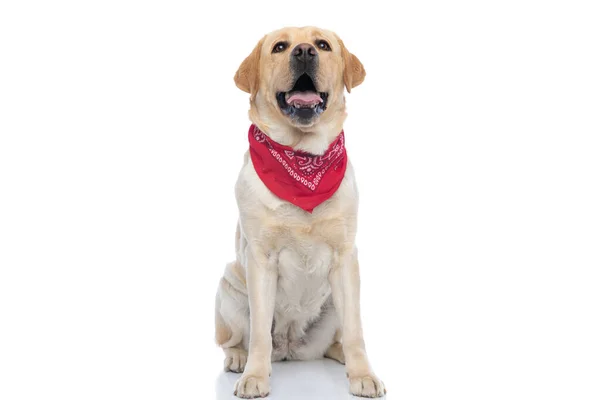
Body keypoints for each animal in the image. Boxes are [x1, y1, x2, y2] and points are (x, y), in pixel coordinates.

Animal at [214, 26, 384, 398]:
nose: (305, 51)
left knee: (337, 338)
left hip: (333, 304)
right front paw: (254, 376)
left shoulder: (345, 259)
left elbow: (356, 331)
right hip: (229, 286)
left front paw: (362, 374)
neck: (303, 157)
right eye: (279, 47)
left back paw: (340, 354)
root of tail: (290, 346)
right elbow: (259, 334)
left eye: (323, 45)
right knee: (236, 338)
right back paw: (237, 359)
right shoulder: (261, 260)